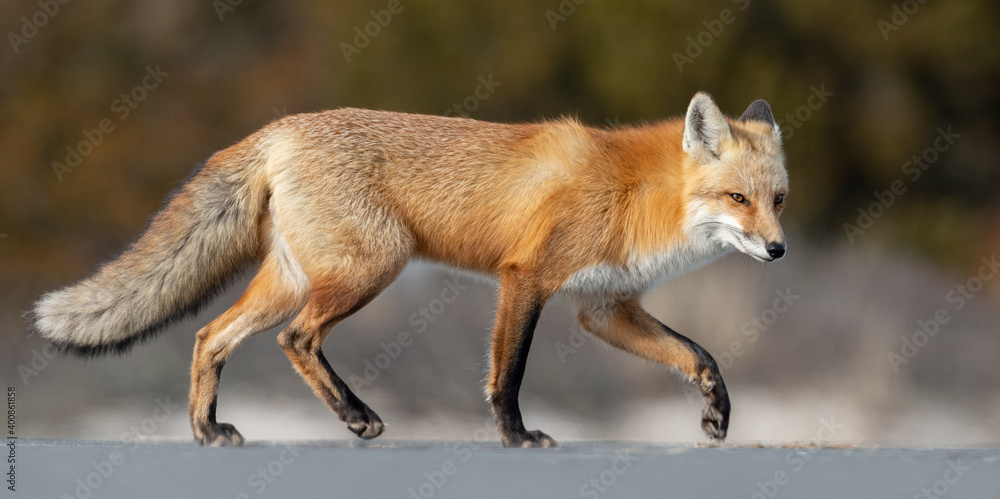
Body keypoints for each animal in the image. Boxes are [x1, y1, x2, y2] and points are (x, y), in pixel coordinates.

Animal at [31, 91, 788, 447]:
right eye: (737, 199)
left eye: (778, 199)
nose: (780, 250)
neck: (636, 192)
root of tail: (279, 128)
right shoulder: (526, 277)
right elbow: (507, 373)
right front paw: (517, 437)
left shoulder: (604, 307)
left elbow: (699, 354)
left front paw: (718, 412)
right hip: (370, 269)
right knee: (295, 338)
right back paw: (355, 415)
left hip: (293, 281)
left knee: (208, 336)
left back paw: (206, 432)